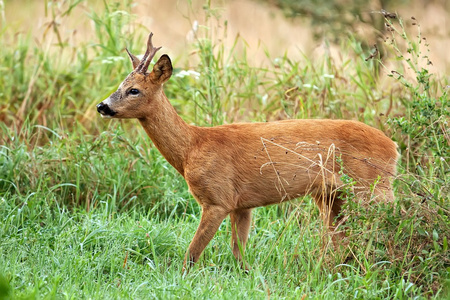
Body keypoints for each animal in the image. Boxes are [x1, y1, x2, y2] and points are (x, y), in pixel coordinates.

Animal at [97, 32, 398, 272]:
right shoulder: (242, 205)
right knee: (342, 239)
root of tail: (394, 147)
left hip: (371, 187)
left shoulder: (217, 198)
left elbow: (192, 254)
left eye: (134, 90)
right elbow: (238, 252)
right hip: (331, 196)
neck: (192, 147)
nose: (102, 106)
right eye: (119, 86)